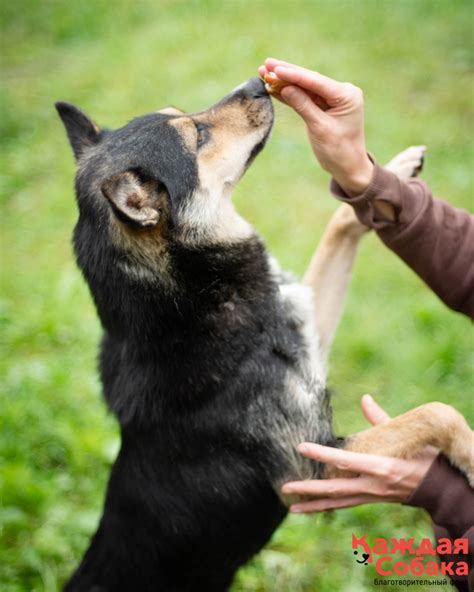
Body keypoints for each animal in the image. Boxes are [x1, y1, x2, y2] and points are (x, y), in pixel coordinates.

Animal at [56, 78, 474, 592]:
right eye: (198, 135)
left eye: (183, 112)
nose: (256, 82)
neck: (200, 300)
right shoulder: (312, 468)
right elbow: (435, 413)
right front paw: (471, 454)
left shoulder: (311, 333)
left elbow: (340, 223)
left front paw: (386, 174)